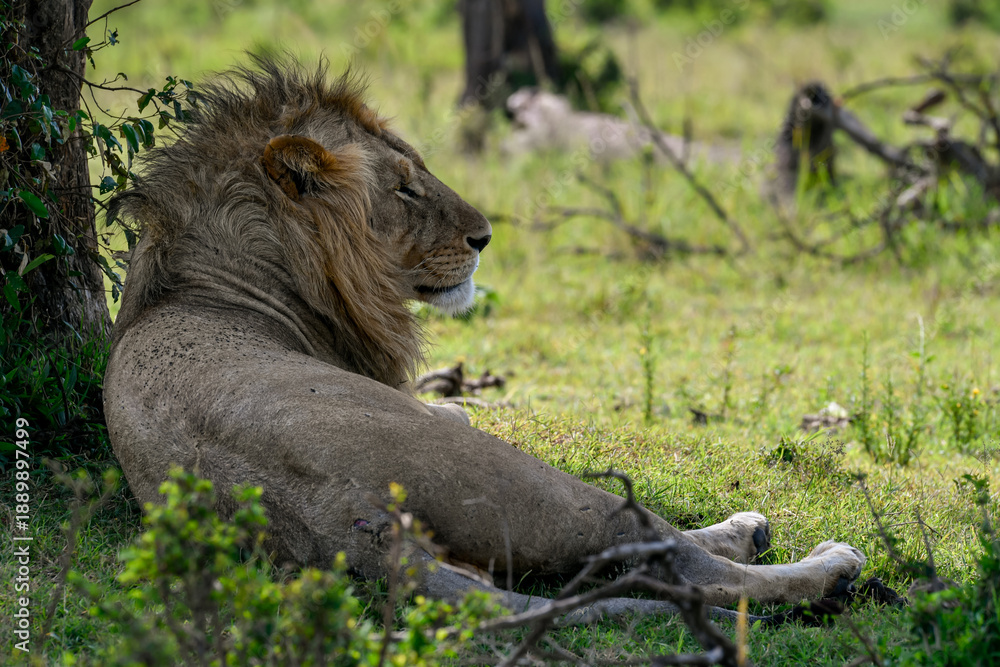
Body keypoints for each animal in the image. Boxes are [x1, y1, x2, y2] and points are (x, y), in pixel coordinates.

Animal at [104, 56, 865, 620]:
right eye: (405, 189)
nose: (485, 236)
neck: (220, 276)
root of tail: (325, 519)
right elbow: (457, 411)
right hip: (515, 476)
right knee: (667, 551)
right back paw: (816, 563)